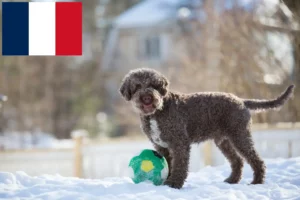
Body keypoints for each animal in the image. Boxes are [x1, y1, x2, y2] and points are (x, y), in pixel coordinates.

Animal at [118, 68, 294, 188]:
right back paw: (232, 180)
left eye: (154, 85)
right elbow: (168, 164)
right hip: (224, 141)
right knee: (237, 161)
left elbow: (180, 165)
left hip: (240, 136)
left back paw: (257, 181)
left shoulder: (179, 143)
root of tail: (242, 101)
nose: (147, 97)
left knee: (256, 160)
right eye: (137, 86)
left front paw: (174, 184)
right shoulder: (162, 146)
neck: (158, 111)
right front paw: (167, 181)